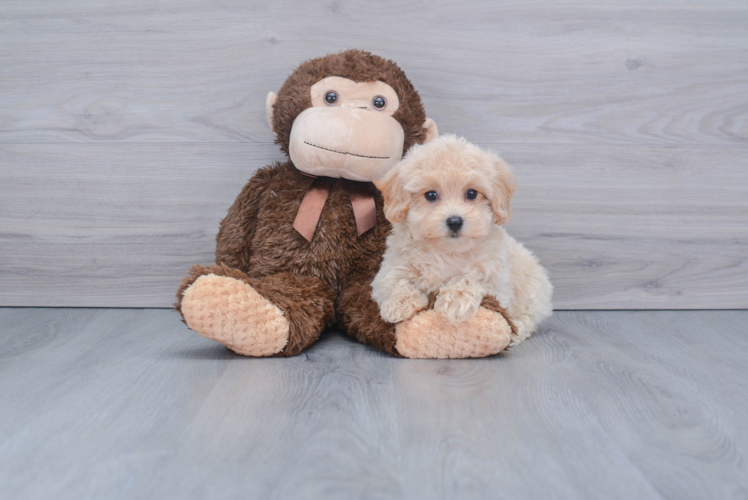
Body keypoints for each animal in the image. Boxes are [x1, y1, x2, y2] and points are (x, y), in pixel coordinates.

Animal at [372, 133, 552, 346]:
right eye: (430, 195)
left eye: (471, 193)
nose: (455, 221)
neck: (448, 251)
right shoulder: (392, 266)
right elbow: (395, 281)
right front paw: (398, 303)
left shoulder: (495, 278)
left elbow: (471, 278)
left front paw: (454, 302)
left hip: (533, 293)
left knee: (527, 319)